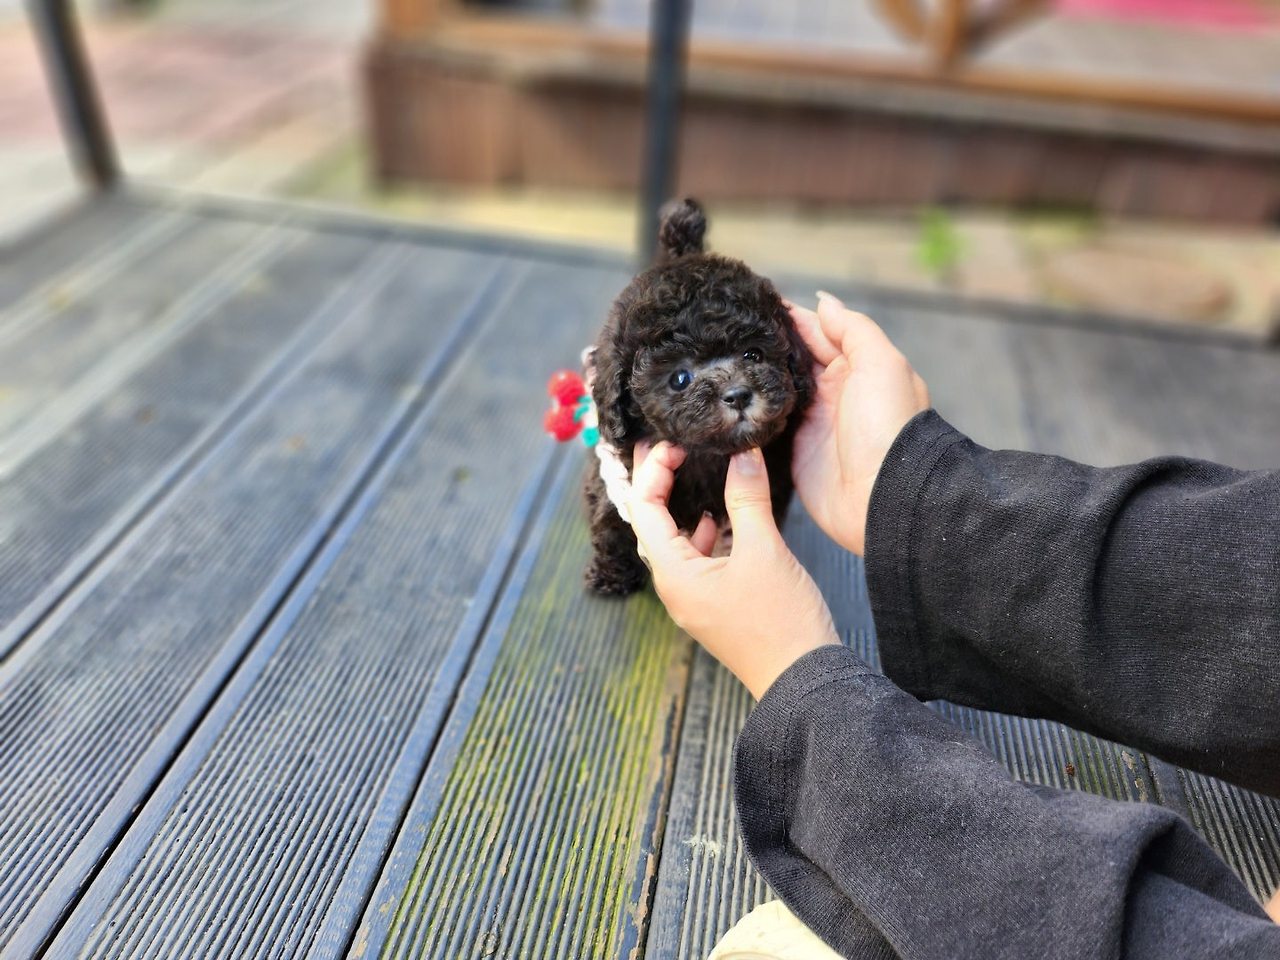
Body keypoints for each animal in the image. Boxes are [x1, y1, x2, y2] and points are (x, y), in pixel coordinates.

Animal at [583, 198, 815, 596]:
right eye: (680, 378)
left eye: (753, 354)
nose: (738, 395)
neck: (707, 457)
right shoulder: (615, 473)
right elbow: (611, 518)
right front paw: (613, 573)